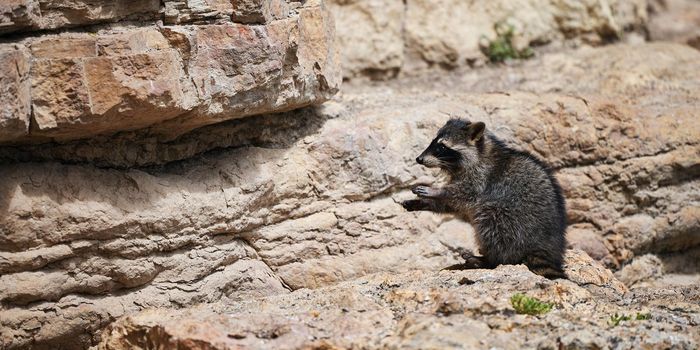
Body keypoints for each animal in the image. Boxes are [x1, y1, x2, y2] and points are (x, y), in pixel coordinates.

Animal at [402, 119, 568, 278]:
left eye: (442, 147)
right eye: (433, 142)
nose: (419, 159)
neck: (480, 152)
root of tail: (542, 246)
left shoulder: (482, 176)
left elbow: (464, 193)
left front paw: (436, 191)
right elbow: (453, 205)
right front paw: (422, 203)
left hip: (511, 221)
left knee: (490, 223)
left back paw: (489, 260)